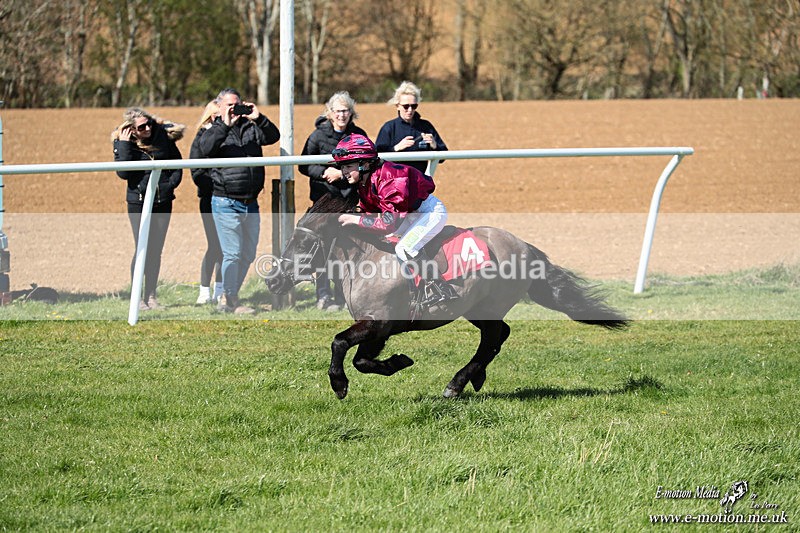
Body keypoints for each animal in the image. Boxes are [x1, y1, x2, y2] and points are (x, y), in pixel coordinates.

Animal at [267, 193, 629, 399]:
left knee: (493, 338)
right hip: (478, 307)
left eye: (302, 243)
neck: (366, 259)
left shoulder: (378, 322)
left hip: (490, 304)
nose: (273, 280)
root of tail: (524, 245)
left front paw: (339, 385)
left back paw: (457, 384)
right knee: (499, 334)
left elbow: (340, 343)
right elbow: (362, 360)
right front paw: (397, 362)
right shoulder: (379, 329)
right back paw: (474, 377)